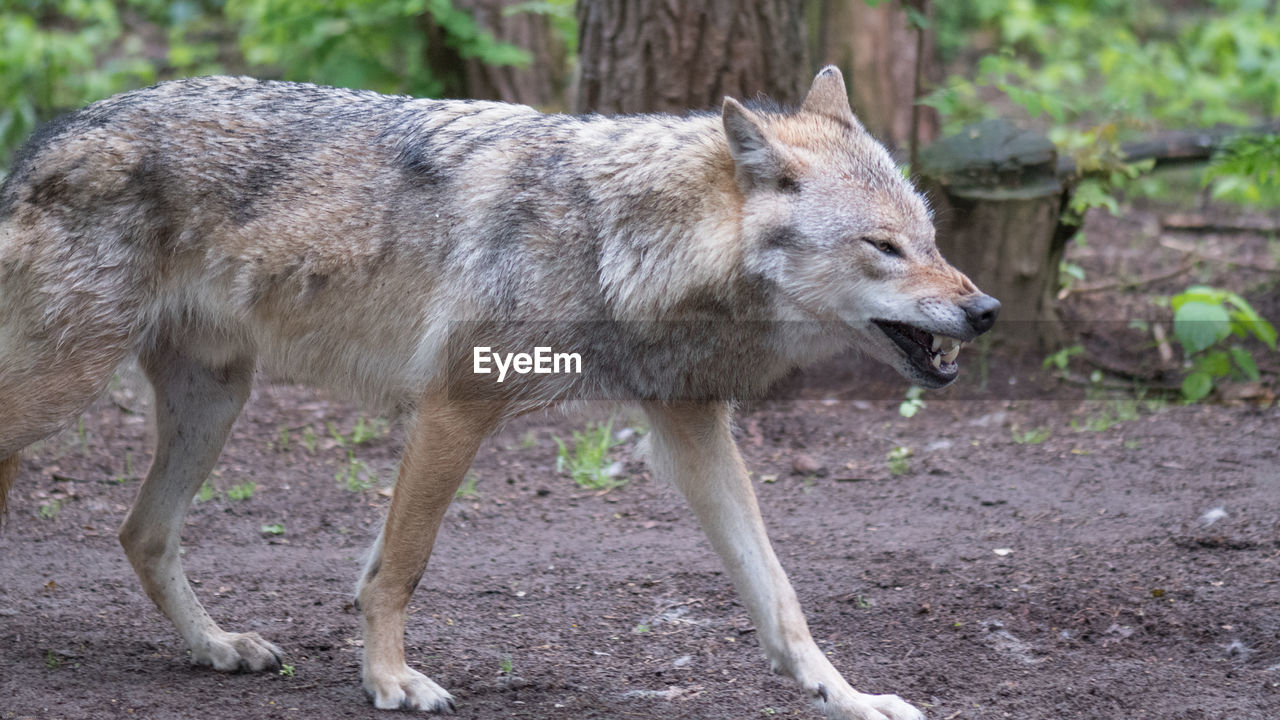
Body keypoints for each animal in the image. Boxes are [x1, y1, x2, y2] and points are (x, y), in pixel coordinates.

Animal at [0, 67, 998, 717]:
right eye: (883, 248)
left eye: (930, 236)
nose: (984, 309)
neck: (612, 241)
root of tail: (46, 136)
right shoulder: (455, 405)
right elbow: (400, 567)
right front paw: (391, 682)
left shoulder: (690, 425)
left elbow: (778, 593)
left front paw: (849, 697)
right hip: (69, 391)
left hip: (215, 403)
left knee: (141, 532)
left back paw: (215, 647)